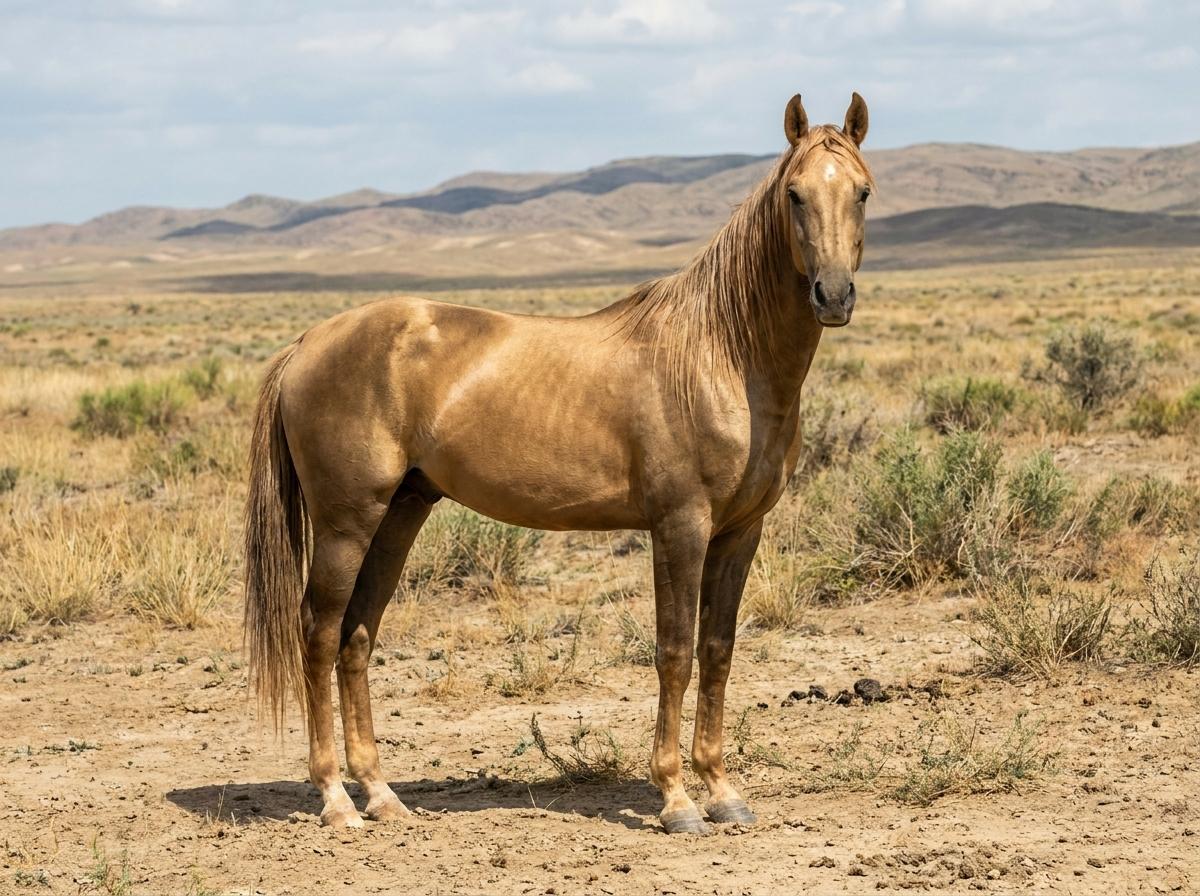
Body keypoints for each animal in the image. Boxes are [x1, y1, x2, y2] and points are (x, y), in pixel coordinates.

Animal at [244, 92, 874, 835]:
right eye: (795, 194)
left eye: (862, 190)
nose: (832, 296)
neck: (721, 354)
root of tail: (308, 341)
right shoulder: (680, 526)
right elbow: (674, 653)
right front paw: (677, 800)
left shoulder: (740, 531)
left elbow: (717, 653)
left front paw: (723, 791)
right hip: (346, 523)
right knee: (318, 636)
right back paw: (337, 802)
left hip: (398, 515)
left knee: (356, 639)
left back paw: (382, 794)